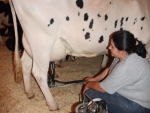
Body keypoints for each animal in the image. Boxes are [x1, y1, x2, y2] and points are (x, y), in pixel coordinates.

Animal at [9, 0, 150, 111]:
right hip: (42, 41)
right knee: (39, 73)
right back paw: (53, 104)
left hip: (30, 43)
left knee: (25, 64)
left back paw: (29, 92)